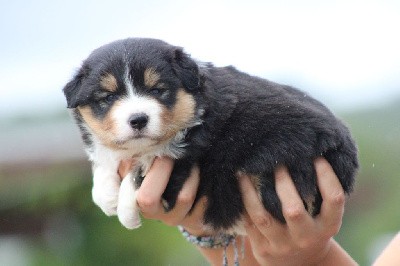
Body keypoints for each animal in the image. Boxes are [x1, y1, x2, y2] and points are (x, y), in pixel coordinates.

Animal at [63, 37, 360, 233]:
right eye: (108, 97)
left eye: (158, 90)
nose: (137, 119)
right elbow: (106, 162)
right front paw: (105, 194)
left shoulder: (186, 158)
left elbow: (138, 175)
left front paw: (126, 212)